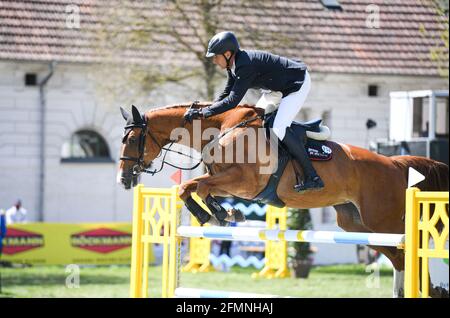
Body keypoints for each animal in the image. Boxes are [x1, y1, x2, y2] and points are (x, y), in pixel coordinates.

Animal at [118, 102, 448, 296]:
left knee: (412, 253)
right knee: (399, 259)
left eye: (132, 139)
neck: (221, 130)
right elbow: (198, 188)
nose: (124, 179)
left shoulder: (245, 182)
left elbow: (193, 187)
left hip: (385, 222)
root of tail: (395, 163)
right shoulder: (231, 184)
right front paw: (222, 215)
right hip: (359, 226)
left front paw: (211, 215)